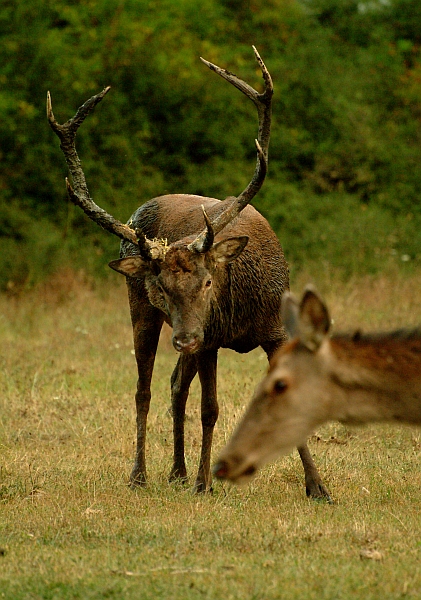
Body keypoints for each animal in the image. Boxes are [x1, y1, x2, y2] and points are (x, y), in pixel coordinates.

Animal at [46, 47, 328, 500]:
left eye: (208, 280)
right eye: (160, 287)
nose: (184, 337)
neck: (239, 308)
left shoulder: (272, 332)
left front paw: (317, 486)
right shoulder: (209, 340)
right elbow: (209, 408)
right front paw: (204, 481)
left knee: (176, 385)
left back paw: (176, 471)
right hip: (143, 312)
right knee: (145, 390)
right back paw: (143, 474)